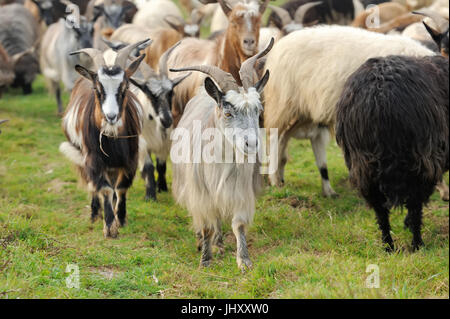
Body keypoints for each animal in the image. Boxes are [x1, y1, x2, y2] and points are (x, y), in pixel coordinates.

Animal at [58, 40, 148, 238]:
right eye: (97, 89)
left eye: (125, 88)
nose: (111, 116)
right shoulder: (93, 159)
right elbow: (104, 188)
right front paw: (109, 226)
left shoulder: (131, 158)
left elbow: (121, 187)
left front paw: (120, 219)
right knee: (93, 185)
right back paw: (94, 213)